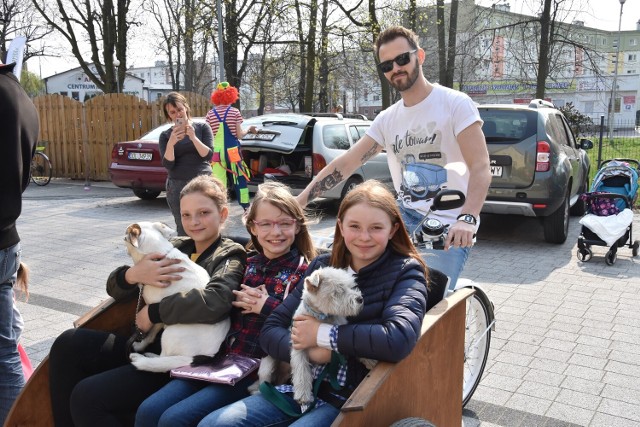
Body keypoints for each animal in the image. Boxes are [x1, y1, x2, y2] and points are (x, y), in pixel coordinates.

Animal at [122, 222, 230, 372]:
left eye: (124, 237)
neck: (159, 256)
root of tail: (209, 355)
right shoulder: (157, 319)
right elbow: (151, 335)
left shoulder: (153, 311)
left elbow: (150, 332)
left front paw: (139, 346)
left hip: (170, 334)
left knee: (164, 359)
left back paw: (144, 358)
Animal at [255, 266, 364, 410]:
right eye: (338, 291)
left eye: (351, 286)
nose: (360, 299)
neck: (321, 317)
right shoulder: (298, 347)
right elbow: (302, 370)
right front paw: (303, 395)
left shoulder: (338, 334)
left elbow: (351, 344)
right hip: (267, 366)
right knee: (264, 380)